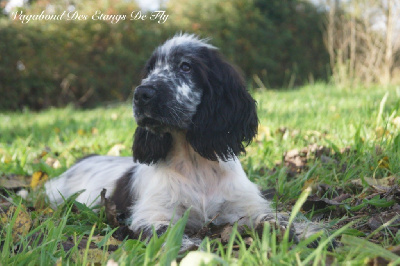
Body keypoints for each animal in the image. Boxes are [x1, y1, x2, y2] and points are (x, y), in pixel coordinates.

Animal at [45, 33, 324, 247]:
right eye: (150, 70)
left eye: (185, 67)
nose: (141, 94)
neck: (195, 162)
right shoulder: (153, 215)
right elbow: (168, 234)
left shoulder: (244, 207)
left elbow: (276, 218)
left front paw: (305, 233)